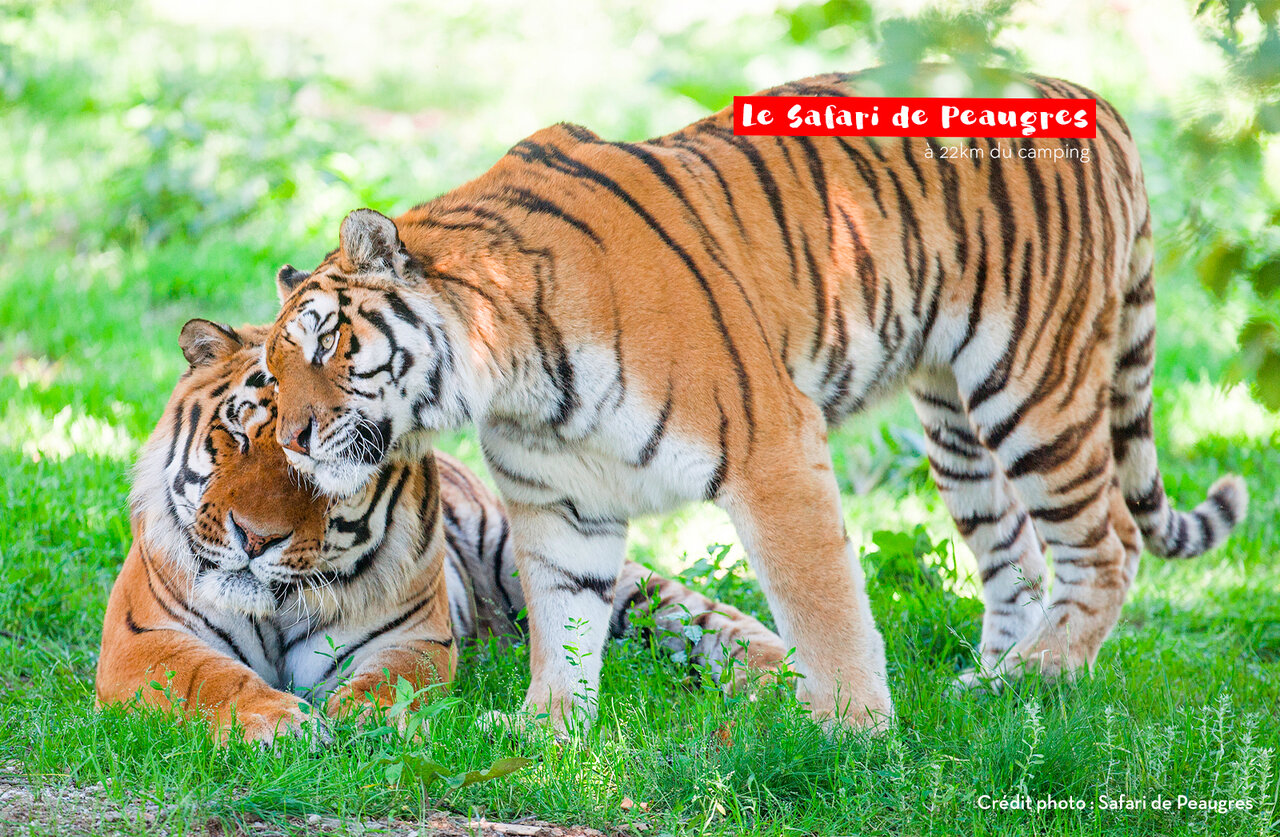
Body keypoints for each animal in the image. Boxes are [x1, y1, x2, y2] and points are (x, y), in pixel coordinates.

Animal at [95, 320, 788, 744]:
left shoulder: (413, 638)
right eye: (237, 431)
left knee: (710, 619)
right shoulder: (144, 640)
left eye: (334, 460)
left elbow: (389, 681)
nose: (255, 539)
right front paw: (277, 721)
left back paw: (782, 680)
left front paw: (361, 720)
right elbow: (211, 680)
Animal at [261, 67, 1249, 733]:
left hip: (1032, 382)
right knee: (1015, 555)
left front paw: (853, 730)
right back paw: (989, 685)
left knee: (1107, 542)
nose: (297, 441)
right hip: (955, 422)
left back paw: (1037, 678)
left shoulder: (772, 449)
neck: (509, 376)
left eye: (328, 342)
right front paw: (551, 732)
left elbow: (822, 604)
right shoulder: (558, 503)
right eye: (270, 378)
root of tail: (1098, 99)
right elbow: (564, 624)